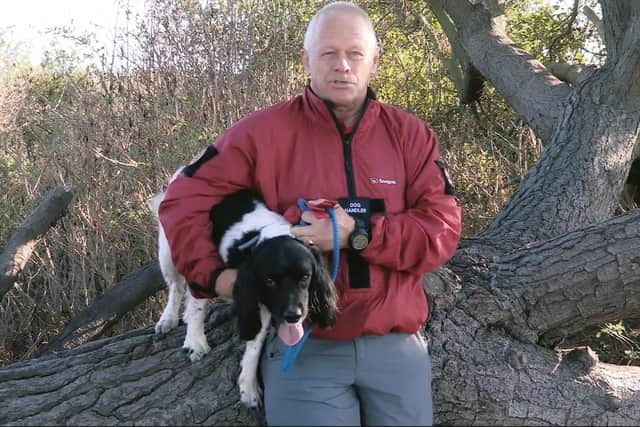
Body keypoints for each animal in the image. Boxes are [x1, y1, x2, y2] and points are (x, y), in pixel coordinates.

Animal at [151, 172, 340, 406]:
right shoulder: (206, 265)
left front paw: (248, 387)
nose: (293, 316)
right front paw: (195, 341)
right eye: (270, 280)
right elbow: (198, 302)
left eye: (305, 276)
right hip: (168, 251)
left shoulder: (265, 305)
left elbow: (255, 344)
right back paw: (168, 319)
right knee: (176, 286)